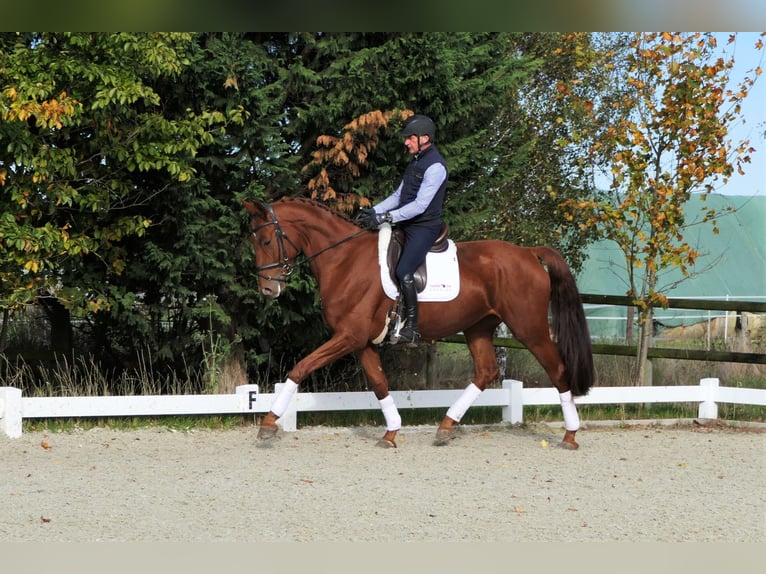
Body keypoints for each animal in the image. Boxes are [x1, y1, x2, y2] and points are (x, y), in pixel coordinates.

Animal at [243, 197, 594, 449]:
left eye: (266, 241)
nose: (268, 290)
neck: (344, 260)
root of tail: (528, 252)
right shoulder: (361, 341)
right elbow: (379, 383)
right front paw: (391, 433)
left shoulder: (348, 336)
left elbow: (300, 367)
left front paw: (269, 423)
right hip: (478, 327)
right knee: (486, 371)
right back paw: (446, 427)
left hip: (529, 328)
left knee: (557, 369)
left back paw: (570, 435)